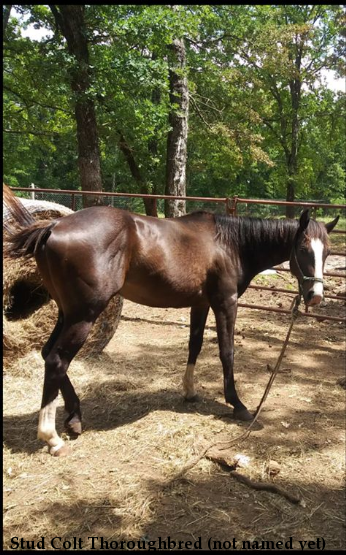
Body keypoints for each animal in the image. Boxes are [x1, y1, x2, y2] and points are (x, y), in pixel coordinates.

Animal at [2, 187, 338, 456]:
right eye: (303, 249)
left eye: (327, 252)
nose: (315, 296)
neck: (229, 244)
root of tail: (54, 224)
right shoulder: (225, 303)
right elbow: (227, 352)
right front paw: (238, 404)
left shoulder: (200, 304)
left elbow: (195, 345)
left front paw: (189, 391)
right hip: (84, 314)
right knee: (57, 360)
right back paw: (52, 437)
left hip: (65, 311)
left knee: (48, 354)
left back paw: (74, 418)